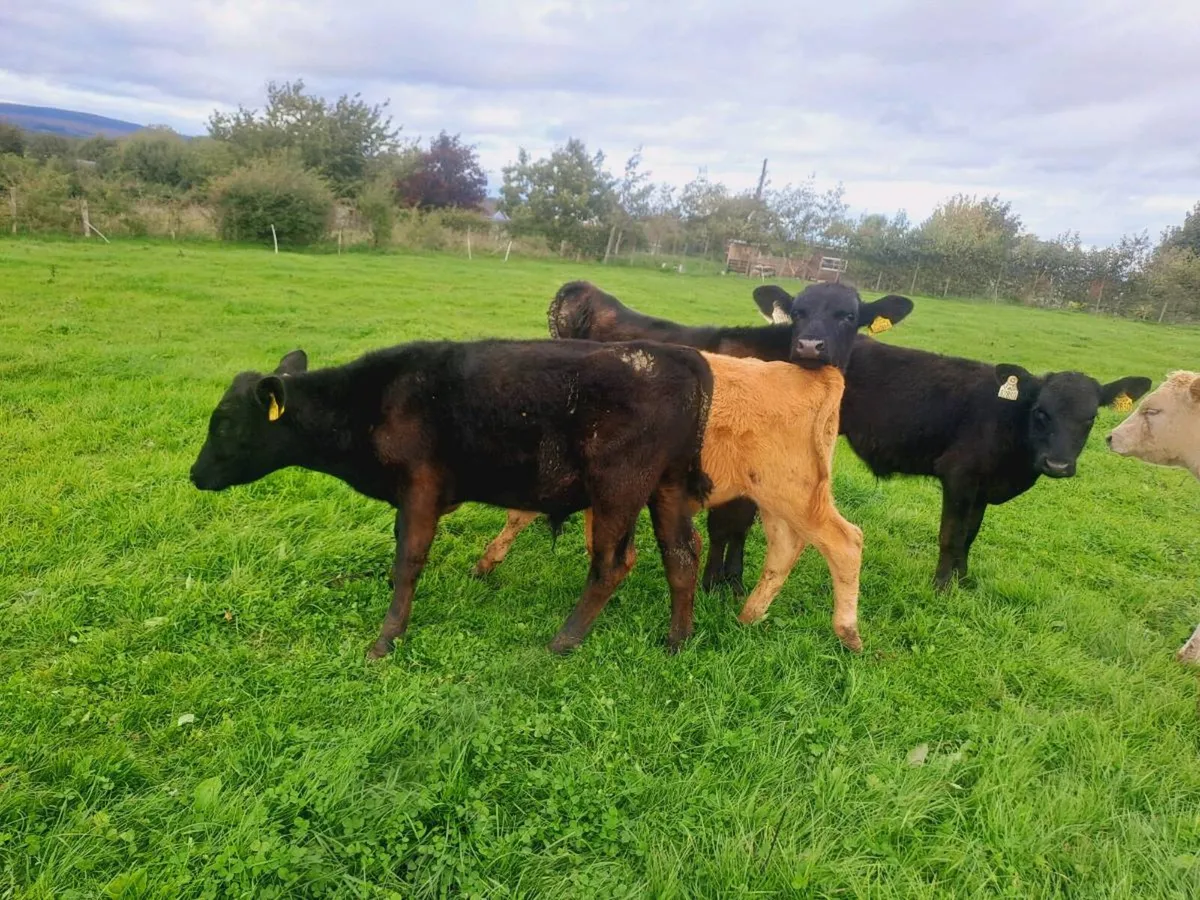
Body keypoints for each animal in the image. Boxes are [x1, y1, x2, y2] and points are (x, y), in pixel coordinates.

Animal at [189, 340, 714, 657]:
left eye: (225, 423)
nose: (194, 474)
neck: (375, 401)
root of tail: (678, 355)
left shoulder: (420, 488)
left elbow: (408, 561)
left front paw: (386, 639)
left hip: (617, 491)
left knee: (612, 564)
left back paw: (564, 640)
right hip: (666, 487)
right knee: (682, 555)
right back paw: (678, 639)